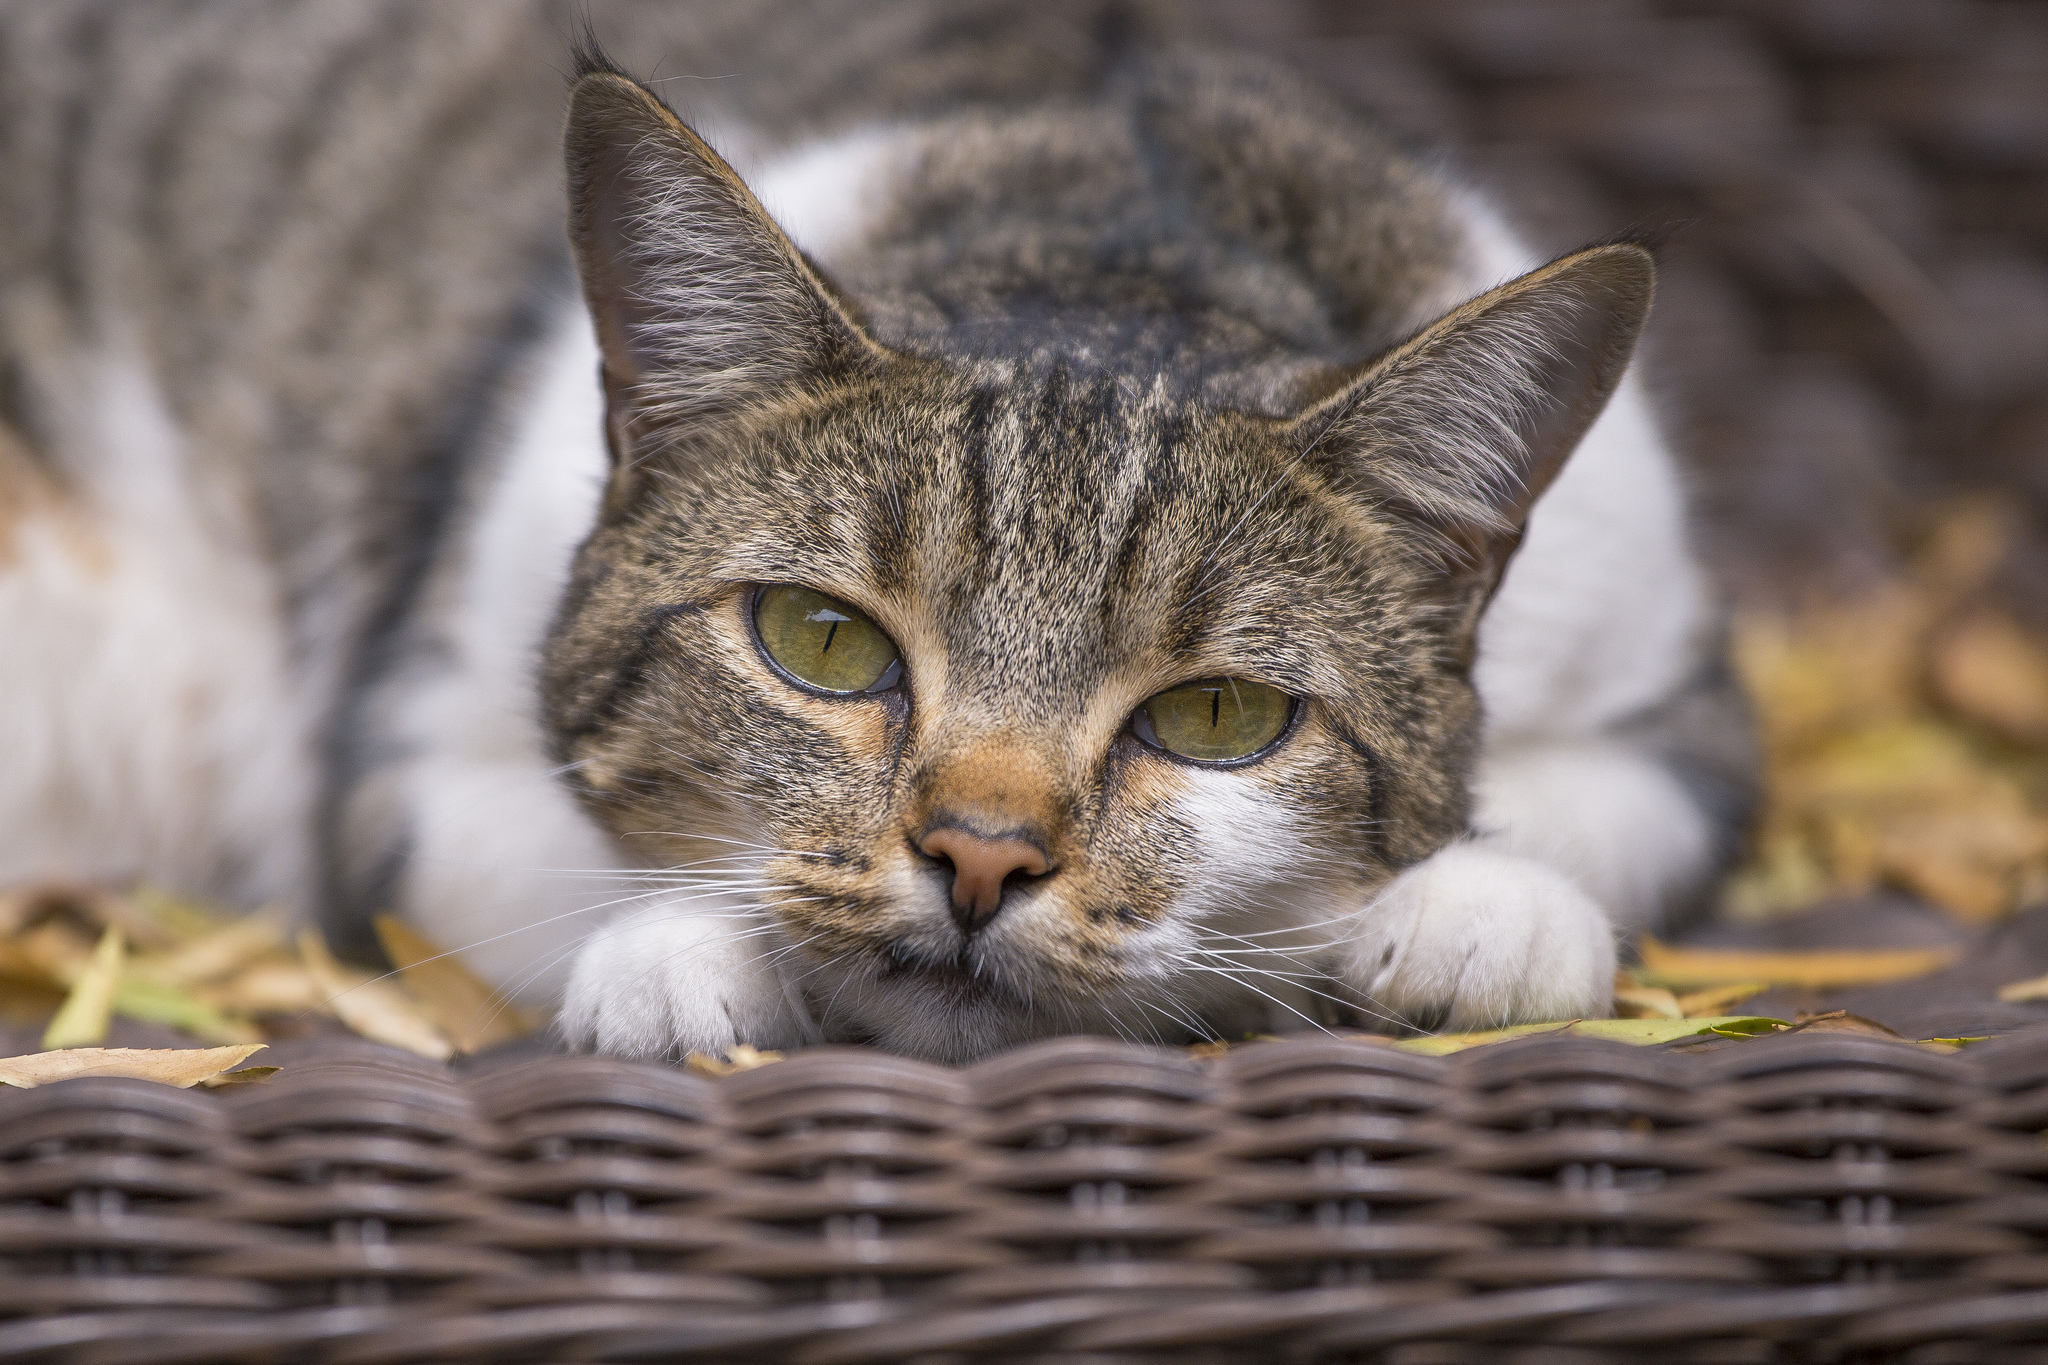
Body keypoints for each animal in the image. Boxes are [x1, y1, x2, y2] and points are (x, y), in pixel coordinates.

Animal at [4, 2, 1761, 1064]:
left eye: (1218, 716)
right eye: (822, 642)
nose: (981, 854)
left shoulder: (1673, 682)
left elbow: (1590, 817)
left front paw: (1472, 915)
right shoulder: (398, 747)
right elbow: (558, 869)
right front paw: (680, 958)